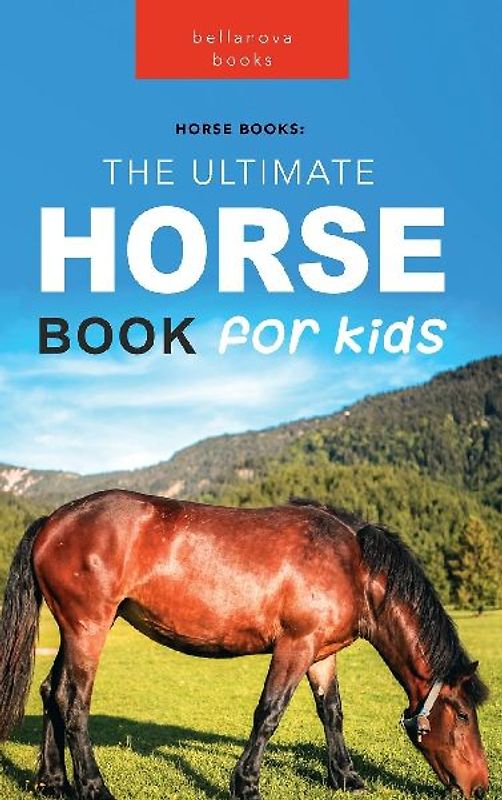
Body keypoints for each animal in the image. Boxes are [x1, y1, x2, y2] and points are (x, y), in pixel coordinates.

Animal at [0, 490, 489, 800]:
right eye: (464, 715)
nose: (481, 786)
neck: (352, 564)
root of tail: (53, 522)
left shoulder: (321, 654)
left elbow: (331, 712)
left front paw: (346, 777)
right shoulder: (295, 646)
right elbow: (269, 713)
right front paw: (246, 784)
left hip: (75, 630)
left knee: (50, 692)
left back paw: (51, 782)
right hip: (89, 628)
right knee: (73, 702)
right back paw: (93, 787)